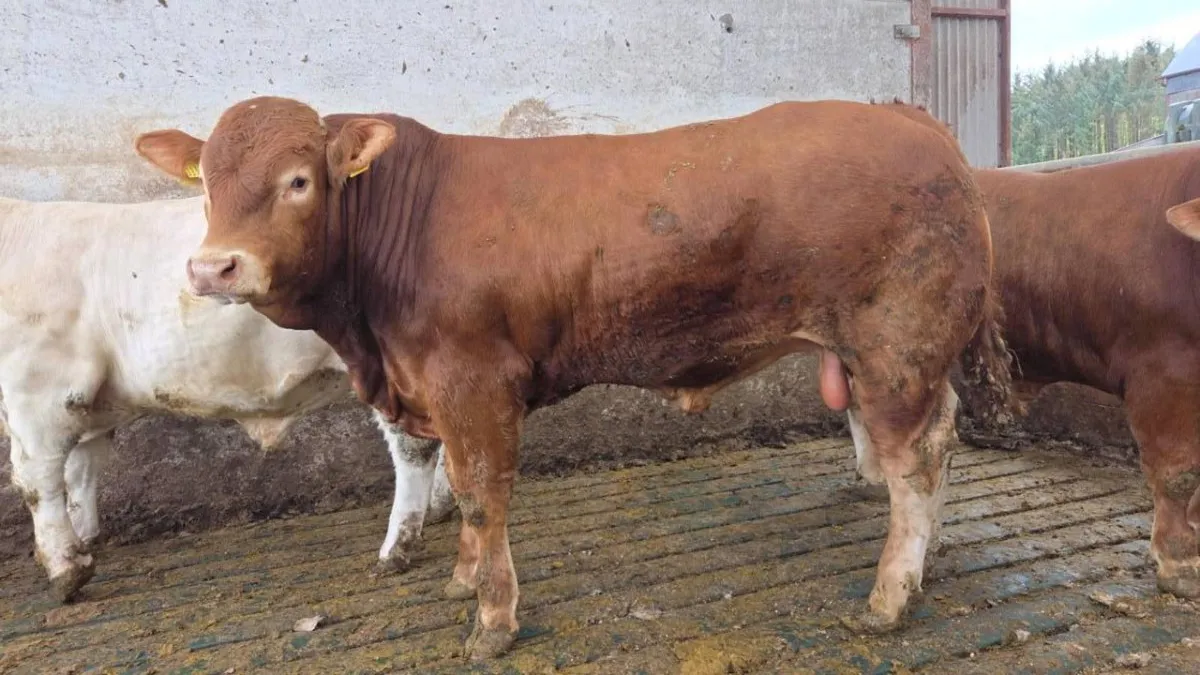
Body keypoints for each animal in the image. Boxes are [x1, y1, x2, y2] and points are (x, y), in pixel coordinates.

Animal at [0, 195, 454, 603]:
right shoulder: (89, 403)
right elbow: (80, 472)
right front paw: (84, 539)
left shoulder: (41, 389)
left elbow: (38, 479)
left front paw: (65, 568)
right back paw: (440, 507)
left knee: (413, 448)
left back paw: (396, 549)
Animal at [134, 95, 1014, 659]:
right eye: (206, 183)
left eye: (298, 180)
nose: (213, 267)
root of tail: (910, 118)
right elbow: (462, 493)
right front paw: (462, 580)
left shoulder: (474, 381)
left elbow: (482, 494)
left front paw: (492, 620)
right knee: (934, 445)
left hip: (896, 350)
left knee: (914, 462)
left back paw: (890, 597)